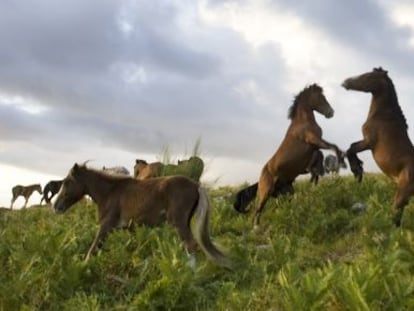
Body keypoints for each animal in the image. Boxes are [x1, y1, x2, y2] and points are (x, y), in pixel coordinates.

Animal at [234, 84, 344, 228]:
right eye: (321, 97)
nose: (331, 112)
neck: (303, 121)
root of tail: (260, 177)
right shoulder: (314, 140)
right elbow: (334, 147)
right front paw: (340, 162)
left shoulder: (316, 145)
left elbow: (329, 150)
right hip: (266, 192)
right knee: (257, 210)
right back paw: (256, 228)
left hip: (287, 190)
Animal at [342, 66, 414, 227]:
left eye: (367, 76)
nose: (346, 82)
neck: (383, 115)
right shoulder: (365, 142)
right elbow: (351, 147)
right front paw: (358, 171)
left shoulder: (369, 143)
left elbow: (350, 150)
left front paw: (357, 172)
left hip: (403, 193)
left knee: (396, 215)